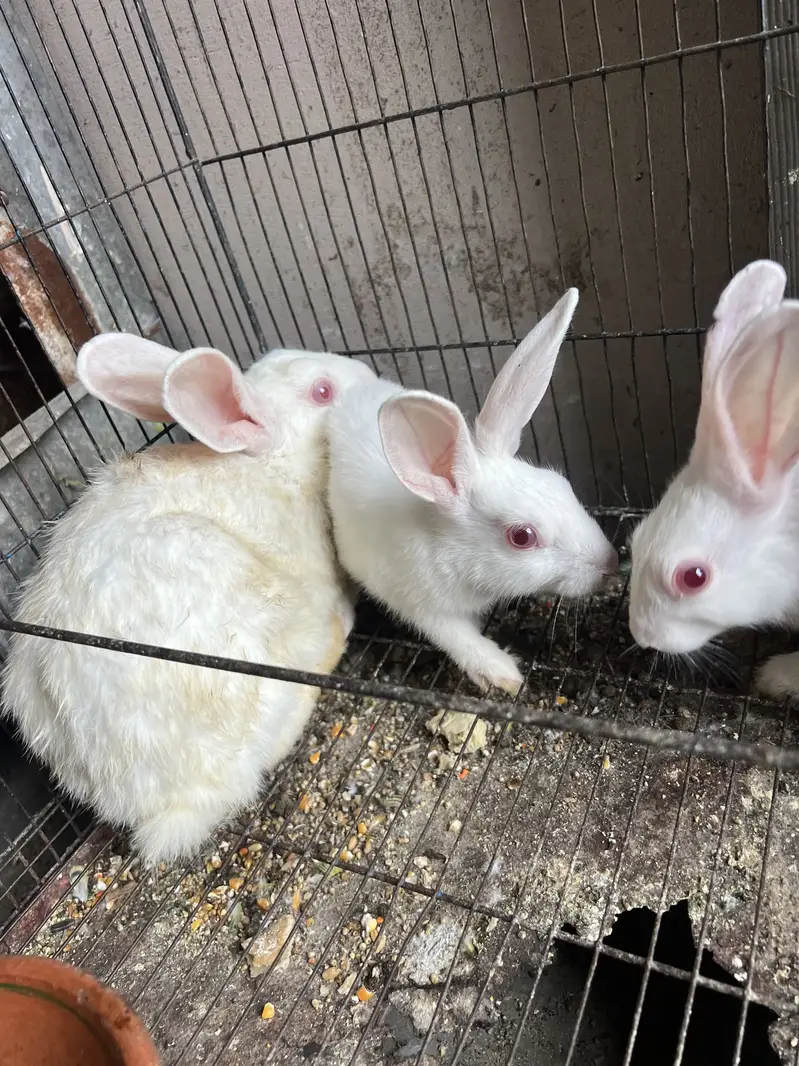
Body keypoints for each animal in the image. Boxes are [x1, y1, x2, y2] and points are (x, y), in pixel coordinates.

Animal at [326, 288, 619, 696]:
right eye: (522, 536)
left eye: (562, 484)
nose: (611, 563)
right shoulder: (416, 602)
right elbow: (454, 636)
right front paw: (503, 674)